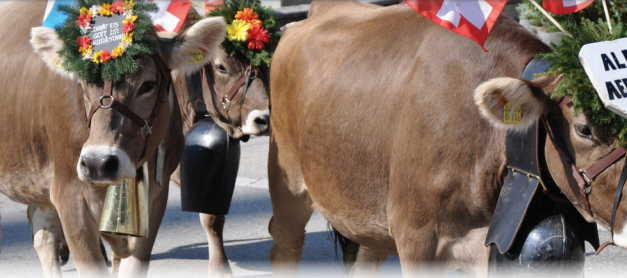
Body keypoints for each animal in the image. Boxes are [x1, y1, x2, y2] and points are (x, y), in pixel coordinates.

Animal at [0, 1, 227, 276]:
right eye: (82, 81)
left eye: (147, 84)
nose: (97, 163)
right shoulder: (68, 193)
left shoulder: (156, 196)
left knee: (43, 234)